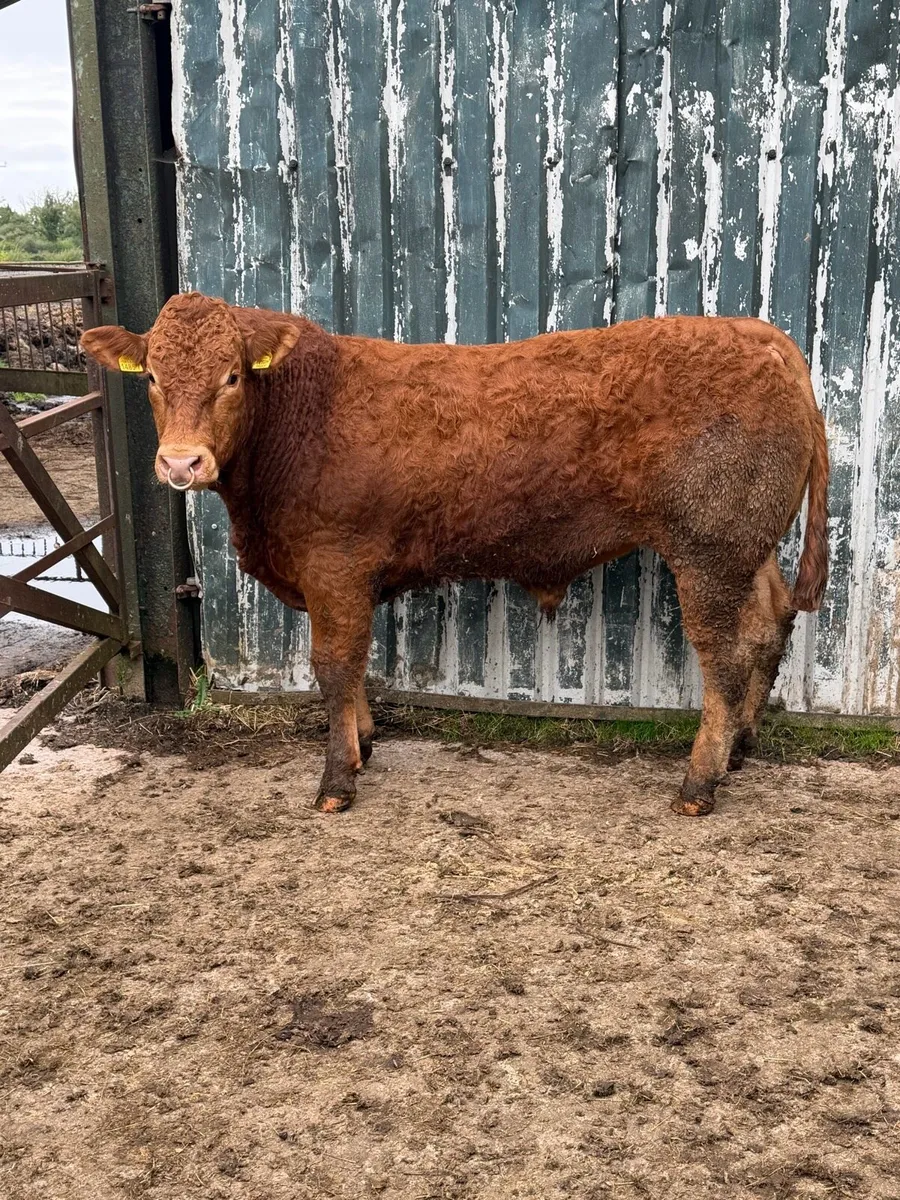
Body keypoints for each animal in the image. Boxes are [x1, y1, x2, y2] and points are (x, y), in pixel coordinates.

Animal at [82, 293, 829, 817]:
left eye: (233, 375)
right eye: (151, 376)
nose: (182, 462)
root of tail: (769, 341)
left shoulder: (335, 562)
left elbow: (334, 664)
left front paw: (337, 780)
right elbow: (355, 667)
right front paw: (364, 743)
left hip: (708, 550)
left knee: (725, 658)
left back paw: (699, 783)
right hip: (750, 548)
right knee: (769, 628)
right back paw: (740, 749)